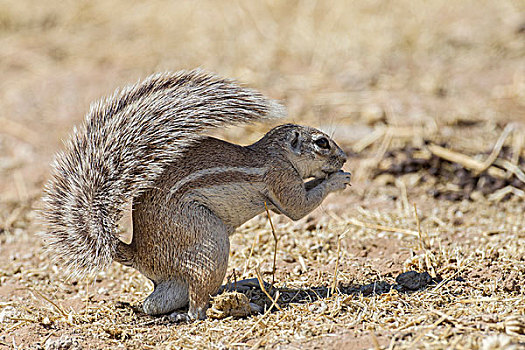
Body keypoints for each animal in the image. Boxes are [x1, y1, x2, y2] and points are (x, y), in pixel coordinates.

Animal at [41, 69, 350, 322]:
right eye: (322, 143)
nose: (344, 158)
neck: (276, 153)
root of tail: (139, 255)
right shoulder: (281, 178)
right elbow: (298, 208)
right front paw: (337, 179)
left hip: (179, 275)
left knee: (154, 304)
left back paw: (234, 286)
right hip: (208, 242)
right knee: (196, 309)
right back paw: (236, 307)